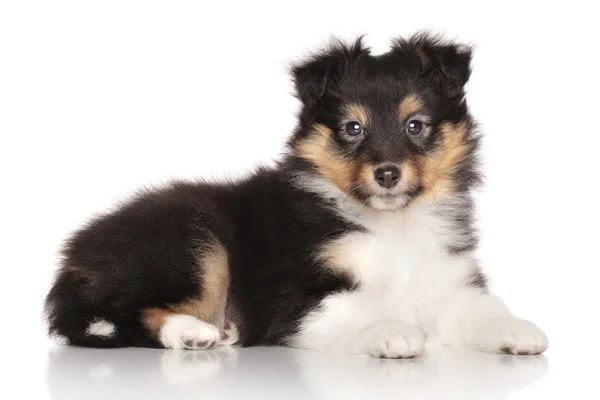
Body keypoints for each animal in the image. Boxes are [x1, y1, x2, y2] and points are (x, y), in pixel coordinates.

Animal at [42, 32, 548, 358]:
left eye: (415, 125)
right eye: (352, 128)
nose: (387, 174)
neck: (393, 226)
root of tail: (71, 260)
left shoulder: (448, 280)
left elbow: (483, 309)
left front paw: (519, 331)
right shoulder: (300, 299)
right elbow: (360, 306)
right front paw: (393, 332)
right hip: (194, 243)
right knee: (121, 314)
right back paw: (192, 333)